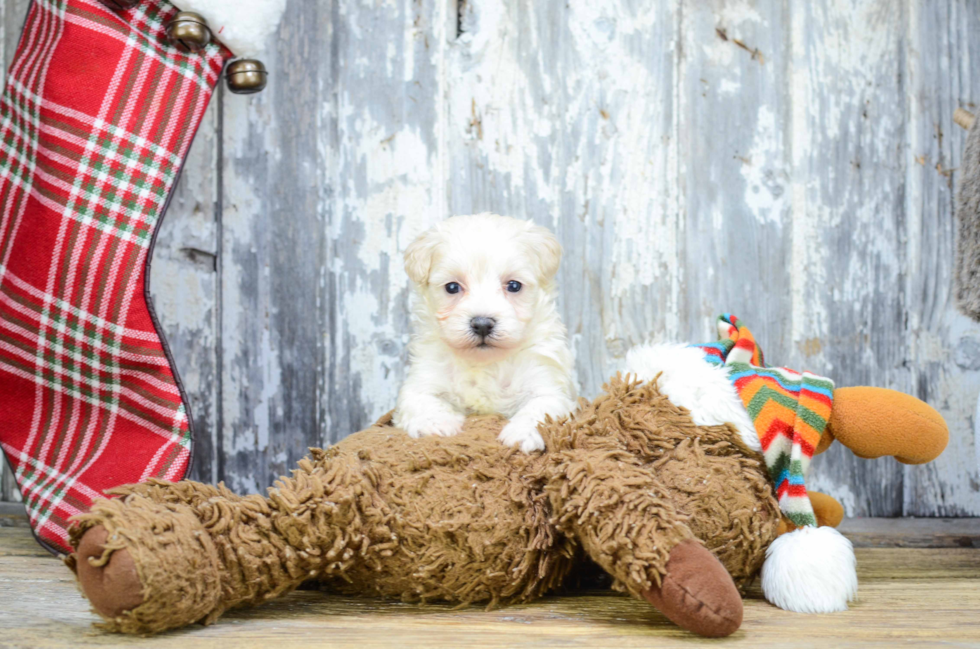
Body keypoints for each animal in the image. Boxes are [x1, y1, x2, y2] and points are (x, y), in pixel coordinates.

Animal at [390, 213, 576, 450]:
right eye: (452, 287)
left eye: (514, 285)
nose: (482, 324)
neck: (485, 362)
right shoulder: (421, 380)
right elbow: (421, 400)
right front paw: (437, 424)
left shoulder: (549, 386)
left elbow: (540, 410)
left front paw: (522, 433)